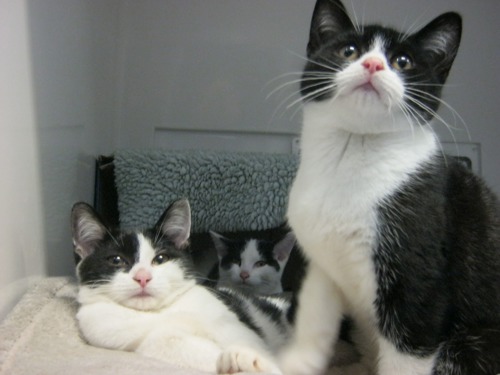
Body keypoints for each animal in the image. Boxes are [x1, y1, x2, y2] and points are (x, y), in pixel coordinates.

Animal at [71, 198, 290, 374]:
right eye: (116, 260)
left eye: (160, 259)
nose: (143, 278)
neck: (159, 312)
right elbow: (168, 341)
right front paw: (238, 362)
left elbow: (248, 340)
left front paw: (251, 359)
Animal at [280, 0, 500, 375]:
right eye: (349, 51)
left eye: (403, 61)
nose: (372, 64)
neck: (352, 153)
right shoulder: (320, 263)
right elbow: (315, 313)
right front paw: (294, 361)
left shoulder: (418, 281)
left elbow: (407, 349)